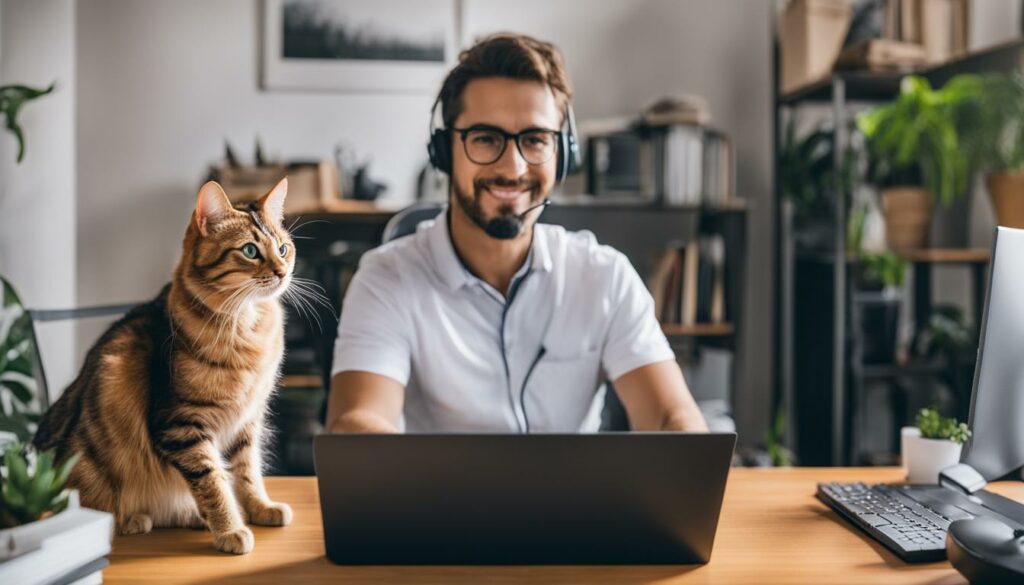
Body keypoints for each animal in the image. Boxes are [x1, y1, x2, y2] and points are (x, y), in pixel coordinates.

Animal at [35, 178, 296, 553]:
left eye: (284, 249)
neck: (247, 326)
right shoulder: (180, 424)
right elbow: (213, 482)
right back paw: (135, 520)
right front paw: (231, 529)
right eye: (250, 251)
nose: (282, 271)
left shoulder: (247, 421)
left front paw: (261, 508)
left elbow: (248, 472)